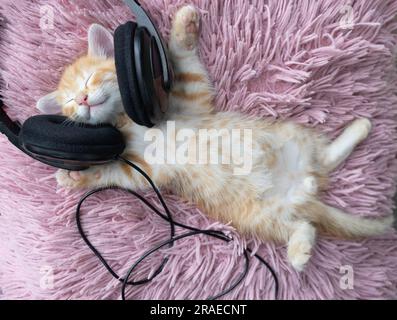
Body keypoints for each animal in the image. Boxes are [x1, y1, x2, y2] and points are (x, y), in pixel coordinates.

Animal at [38, 6, 392, 272]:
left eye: (88, 78)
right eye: (69, 102)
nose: (82, 100)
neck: (130, 121)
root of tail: (303, 189)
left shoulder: (188, 99)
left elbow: (183, 61)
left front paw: (183, 25)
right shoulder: (143, 169)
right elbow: (113, 173)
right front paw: (74, 176)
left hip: (293, 136)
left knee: (324, 160)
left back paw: (358, 128)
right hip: (265, 218)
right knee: (304, 221)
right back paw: (299, 250)